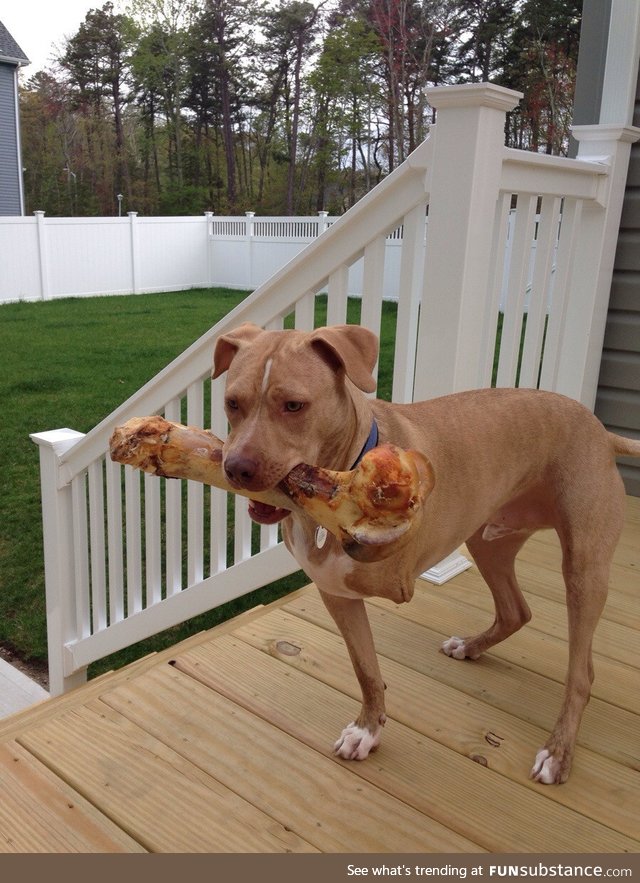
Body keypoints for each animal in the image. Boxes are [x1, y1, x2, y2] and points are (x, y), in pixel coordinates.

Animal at [214, 322, 640, 784]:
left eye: (294, 405)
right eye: (232, 403)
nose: (236, 468)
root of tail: (600, 429)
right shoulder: (338, 595)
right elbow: (366, 669)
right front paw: (367, 730)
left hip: (584, 568)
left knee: (581, 673)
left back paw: (558, 753)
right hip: (486, 540)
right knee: (515, 611)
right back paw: (471, 646)